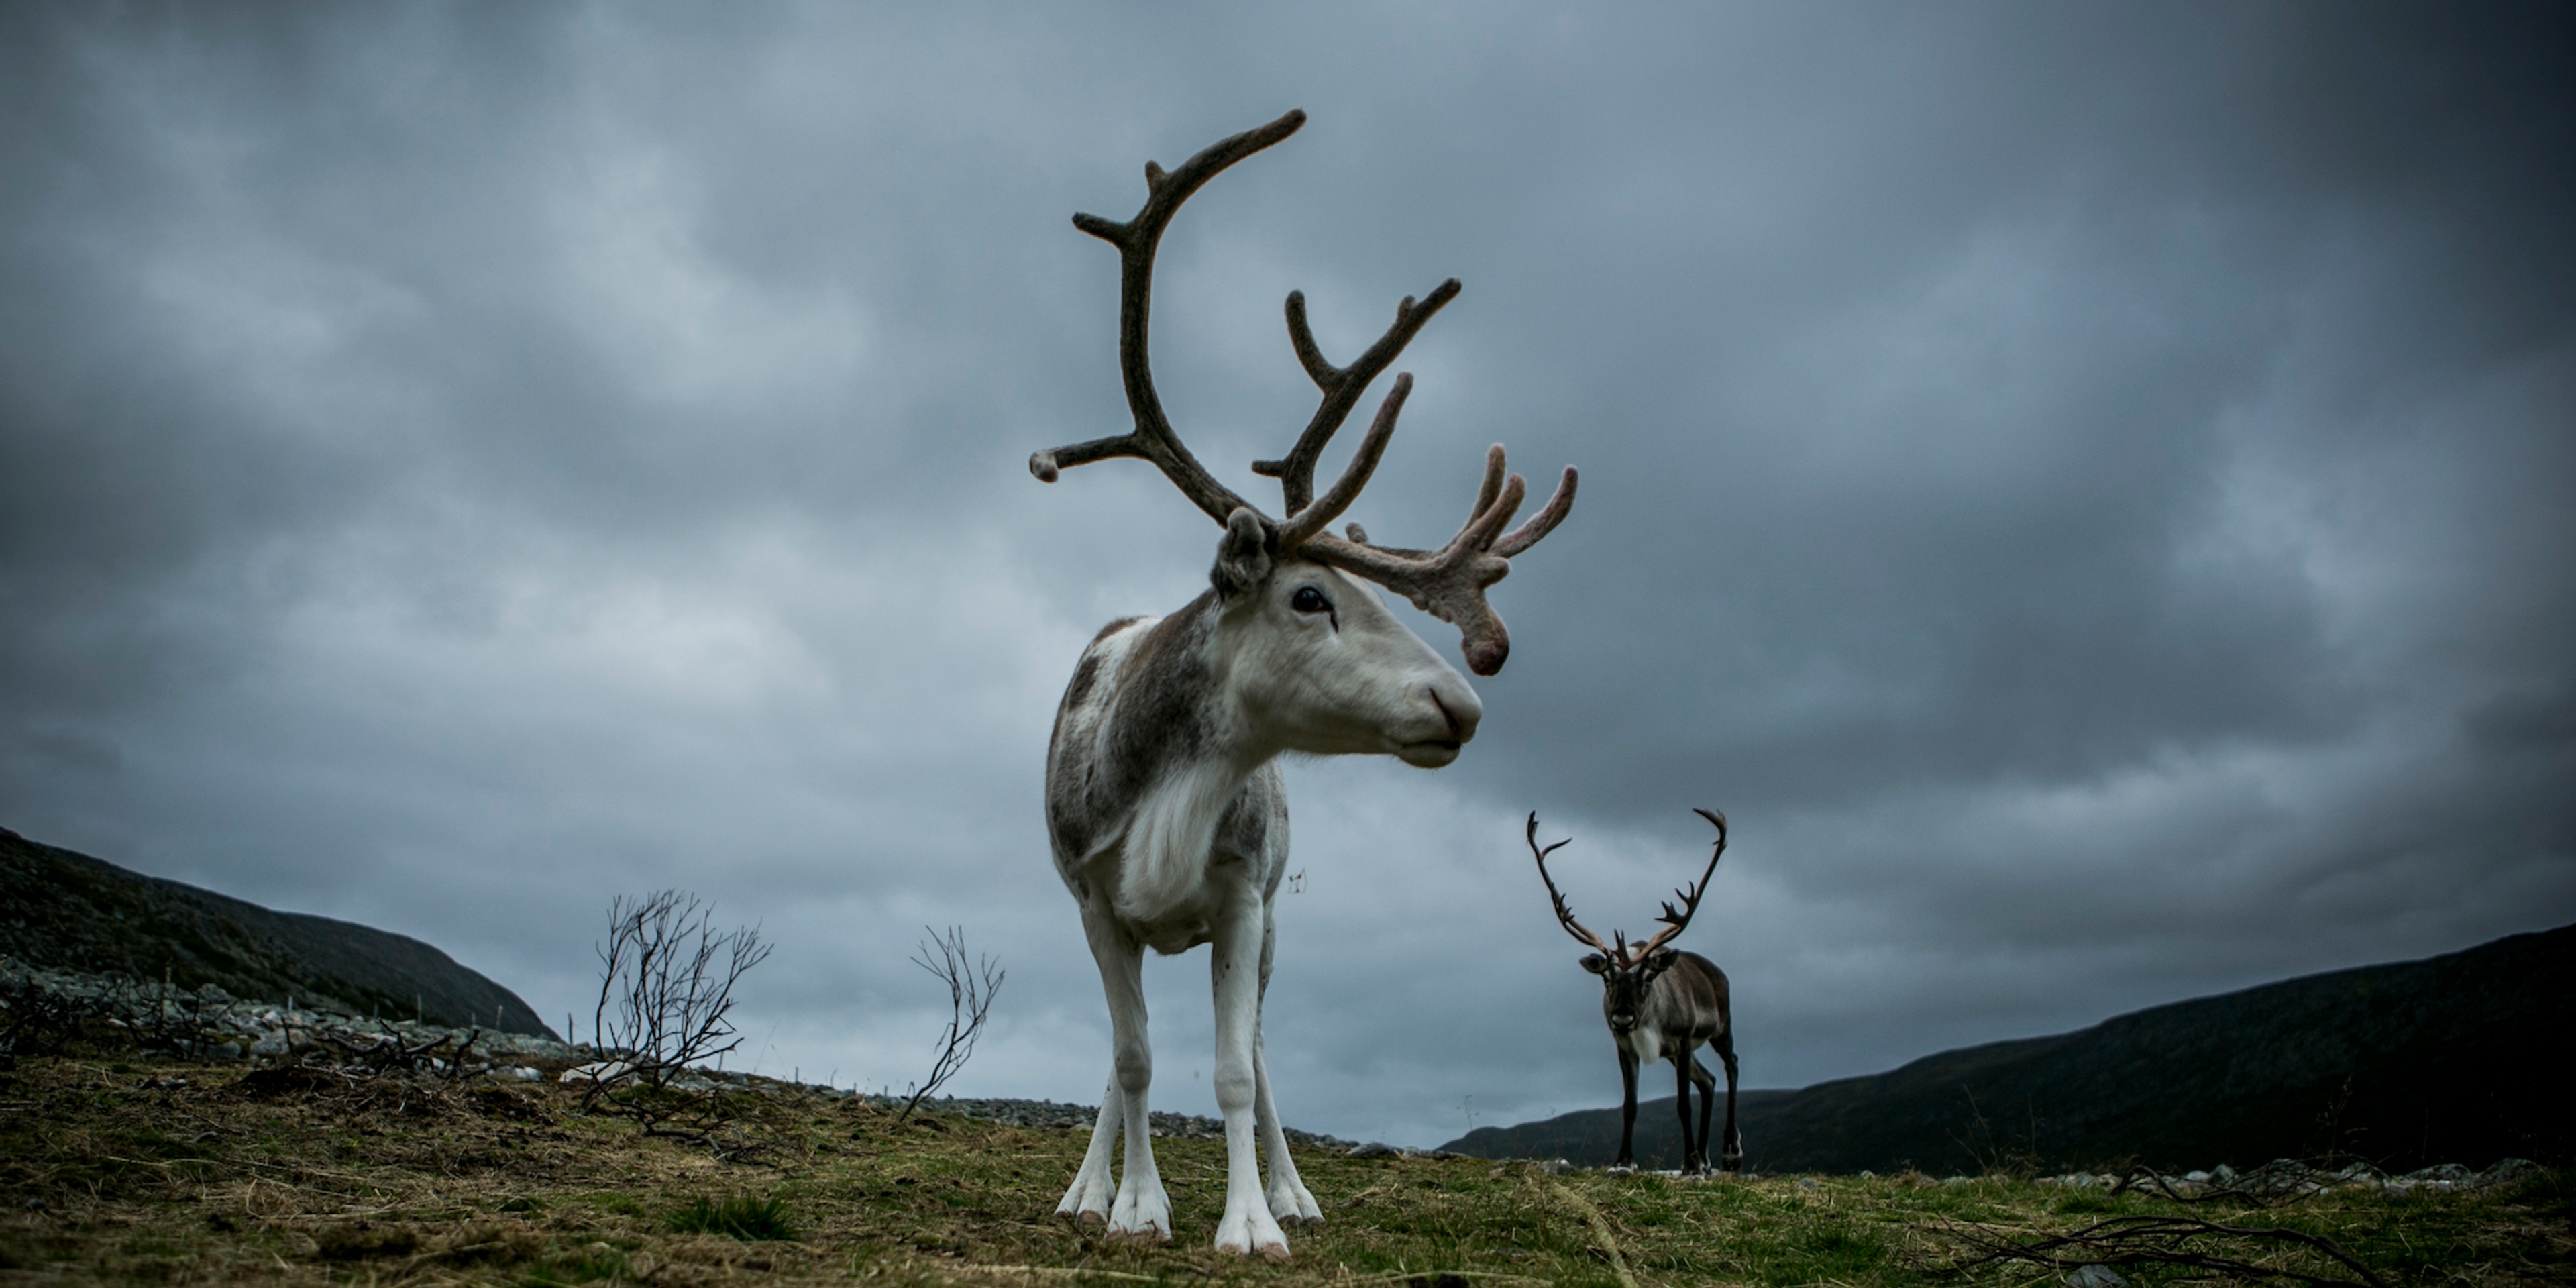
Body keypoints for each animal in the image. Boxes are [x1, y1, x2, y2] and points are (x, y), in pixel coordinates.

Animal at [1028, 110, 1576, 1260]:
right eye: (1310, 595)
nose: (1464, 701)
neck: (1163, 791)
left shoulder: (1243, 895)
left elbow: (1237, 1069)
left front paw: (1250, 1222)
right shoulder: (1093, 900)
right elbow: (1132, 1059)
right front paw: (1133, 1208)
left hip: (1274, 917)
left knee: (1264, 1046)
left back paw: (1289, 1190)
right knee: (1123, 1051)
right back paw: (1092, 1188)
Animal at [1528, 808, 1742, 1174]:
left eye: (1649, 977)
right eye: (1606, 979)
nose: (1623, 1018)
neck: (1648, 1024)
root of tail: (1717, 972)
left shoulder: (1683, 1039)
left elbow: (1683, 1104)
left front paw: (1688, 1164)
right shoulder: (1625, 1047)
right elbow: (1630, 1104)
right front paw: (1624, 1161)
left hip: (1720, 1029)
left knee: (1732, 1066)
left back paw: (1729, 1152)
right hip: (1678, 1053)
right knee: (1708, 1081)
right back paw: (1705, 1159)